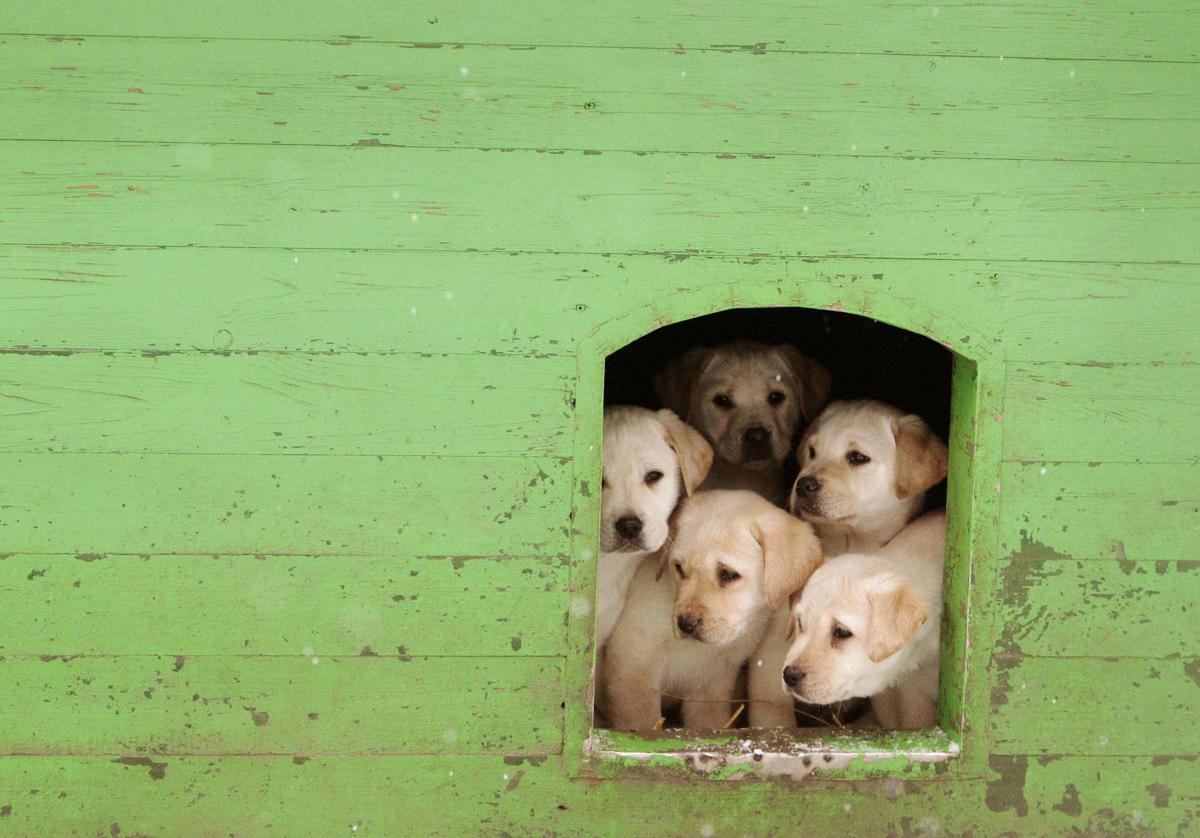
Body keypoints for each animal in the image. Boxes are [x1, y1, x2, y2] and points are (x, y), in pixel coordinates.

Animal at [604, 489, 820, 729]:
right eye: (678, 568)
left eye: (728, 574)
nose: (685, 624)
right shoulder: (633, 666)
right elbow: (643, 721)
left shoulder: (712, 682)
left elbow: (708, 721)